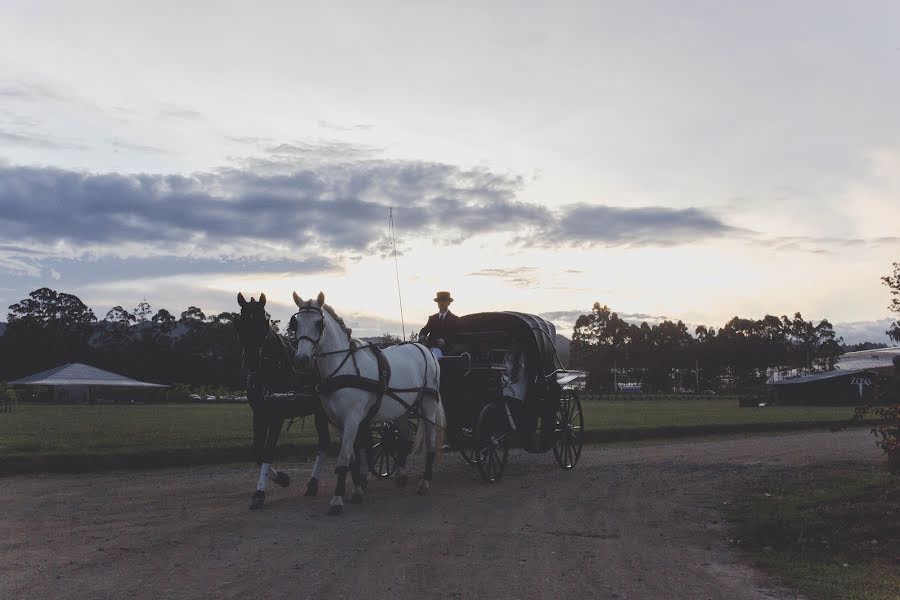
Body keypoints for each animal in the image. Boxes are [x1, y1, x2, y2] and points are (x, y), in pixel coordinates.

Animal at [236, 292, 330, 508]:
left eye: (264, 321)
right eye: (240, 323)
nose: (251, 360)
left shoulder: (276, 415)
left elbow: (268, 451)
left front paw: (260, 492)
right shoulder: (260, 413)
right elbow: (257, 452)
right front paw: (282, 478)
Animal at [290, 292, 444, 512]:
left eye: (319, 323)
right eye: (296, 324)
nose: (301, 360)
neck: (343, 367)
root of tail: (424, 348)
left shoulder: (353, 419)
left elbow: (343, 459)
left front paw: (337, 500)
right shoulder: (339, 423)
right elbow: (352, 459)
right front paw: (356, 491)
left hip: (428, 404)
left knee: (430, 441)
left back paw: (425, 482)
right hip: (402, 409)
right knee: (405, 438)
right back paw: (402, 476)